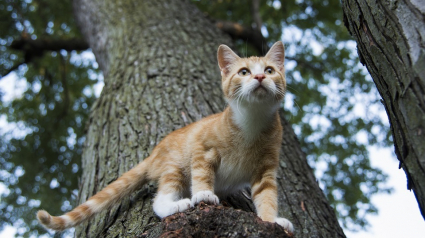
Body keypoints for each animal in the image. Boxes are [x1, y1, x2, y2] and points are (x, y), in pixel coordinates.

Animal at [38, 41, 294, 232]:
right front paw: (203, 192)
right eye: (244, 72)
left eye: (269, 70)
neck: (251, 122)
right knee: (160, 200)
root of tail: (154, 153)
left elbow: (267, 196)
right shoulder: (202, 148)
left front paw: (272, 220)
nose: (260, 77)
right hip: (174, 166)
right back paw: (176, 205)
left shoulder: (265, 169)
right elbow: (202, 174)